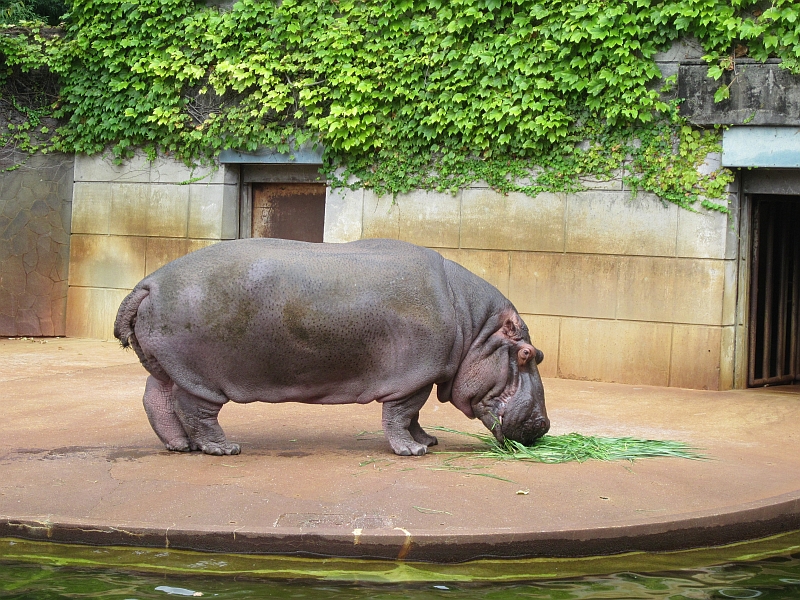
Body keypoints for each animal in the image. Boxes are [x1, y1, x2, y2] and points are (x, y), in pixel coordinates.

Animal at [114, 238, 549, 456]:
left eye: (540, 355)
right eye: (527, 354)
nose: (544, 425)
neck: (474, 327)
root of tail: (149, 282)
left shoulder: (422, 374)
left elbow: (413, 416)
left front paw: (427, 442)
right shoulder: (415, 375)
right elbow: (402, 414)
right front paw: (413, 451)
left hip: (169, 365)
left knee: (157, 398)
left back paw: (179, 446)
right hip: (203, 376)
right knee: (196, 411)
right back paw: (223, 449)